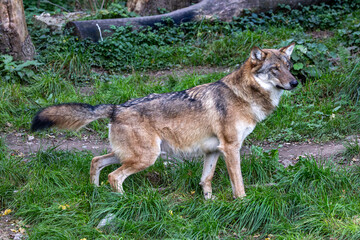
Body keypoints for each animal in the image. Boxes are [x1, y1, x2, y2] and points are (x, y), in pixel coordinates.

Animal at [31, 43, 298, 199]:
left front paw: (209, 203)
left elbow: (206, 179)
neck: (244, 95)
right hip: (146, 158)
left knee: (96, 161)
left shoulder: (213, 150)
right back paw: (124, 202)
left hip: (131, 155)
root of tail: (116, 108)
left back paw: (96, 194)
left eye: (288, 66)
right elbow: (239, 183)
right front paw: (241, 203)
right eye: (274, 69)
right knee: (114, 176)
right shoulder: (231, 148)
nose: (295, 82)